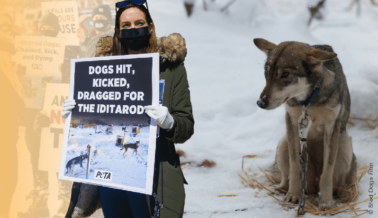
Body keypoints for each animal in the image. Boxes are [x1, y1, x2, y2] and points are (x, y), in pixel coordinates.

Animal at [254, 38, 358, 210]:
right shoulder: (292, 123)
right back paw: (280, 189)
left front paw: (326, 203)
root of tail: (312, 185)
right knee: (286, 178)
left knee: (342, 183)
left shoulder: (331, 127)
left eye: (285, 74)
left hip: (344, 146)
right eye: (266, 73)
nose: (260, 103)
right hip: (283, 144)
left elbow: (327, 173)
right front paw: (293, 196)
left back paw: (345, 195)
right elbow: (295, 167)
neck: (308, 102)